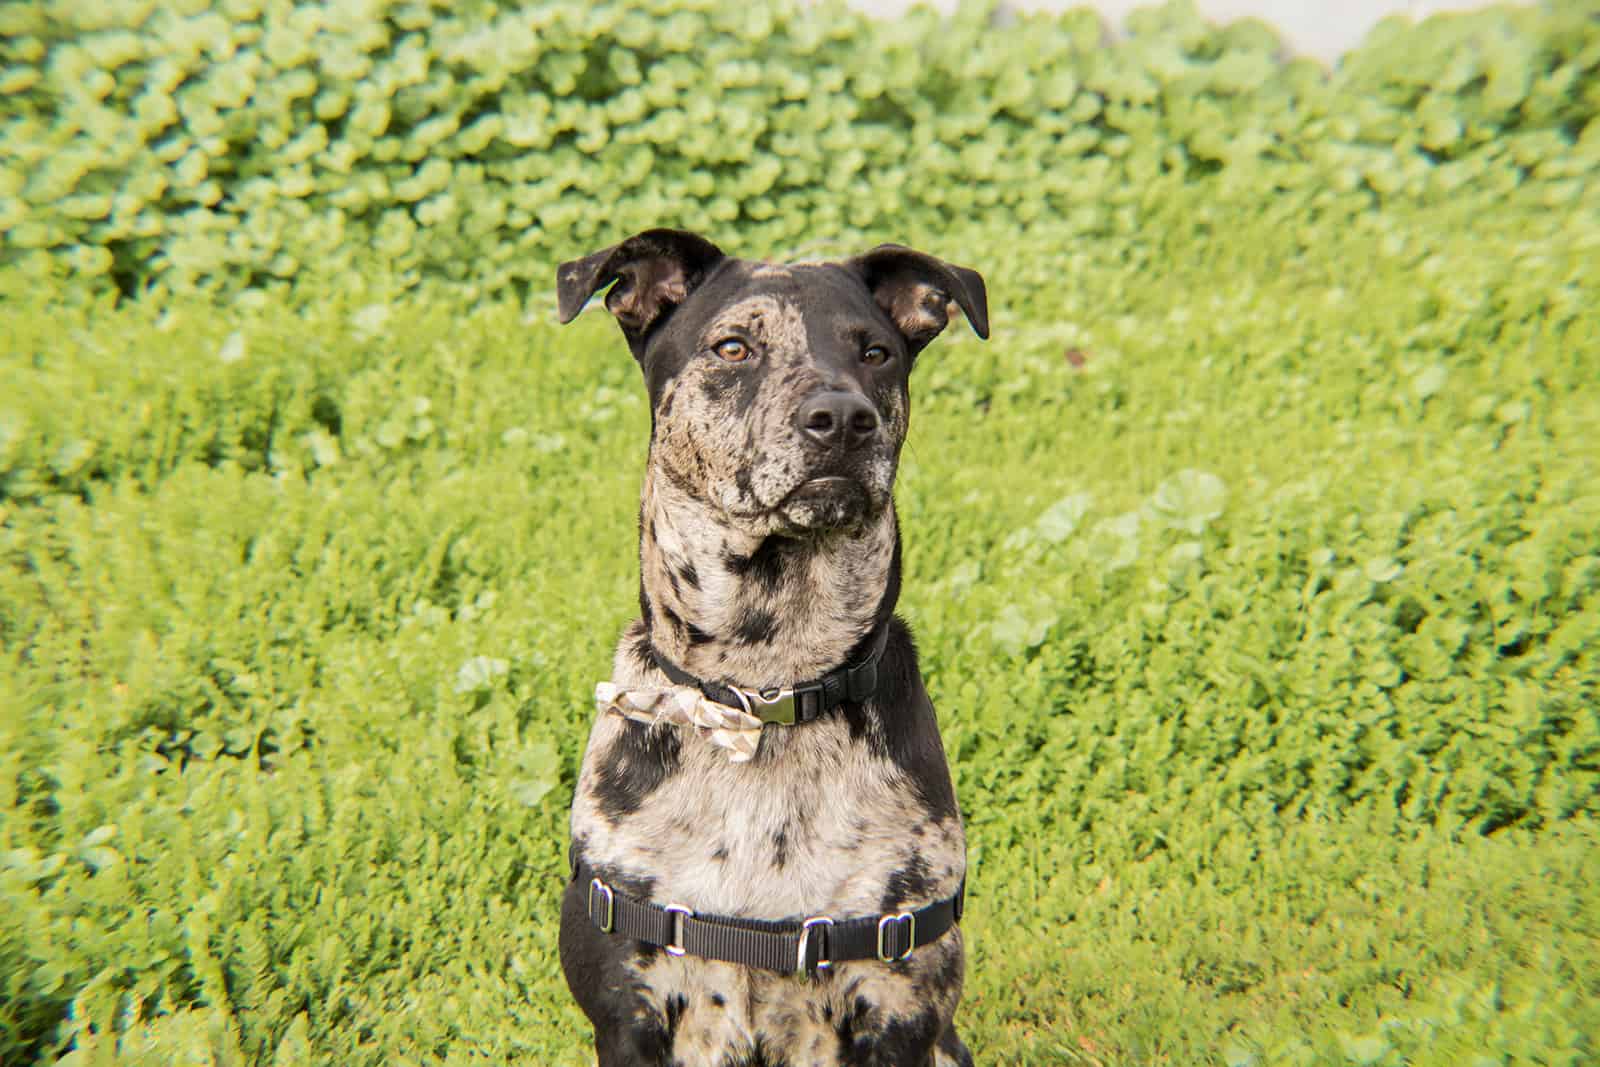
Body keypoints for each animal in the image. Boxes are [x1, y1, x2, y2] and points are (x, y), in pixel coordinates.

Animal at [553, 230, 985, 1062]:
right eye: (733, 346)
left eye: (876, 351)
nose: (842, 417)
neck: (766, 687)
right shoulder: (626, 1011)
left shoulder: (902, 1010)